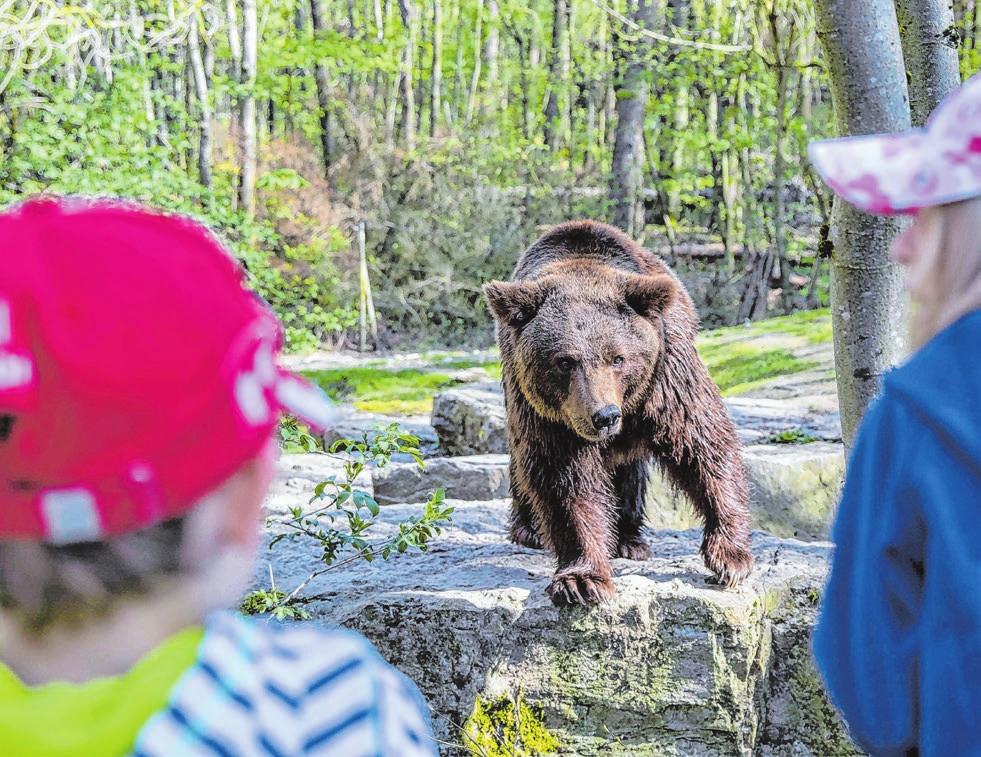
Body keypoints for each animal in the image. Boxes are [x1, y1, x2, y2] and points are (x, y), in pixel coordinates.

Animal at [482, 220, 752, 608]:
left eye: (618, 358)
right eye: (564, 361)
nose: (604, 416)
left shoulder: (666, 376)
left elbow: (701, 444)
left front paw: (730, 557)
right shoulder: (550, 414)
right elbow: (565, 479)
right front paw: (582, 580)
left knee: (630, 469)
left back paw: (628, 538)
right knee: (523, 466)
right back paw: (528, 529)